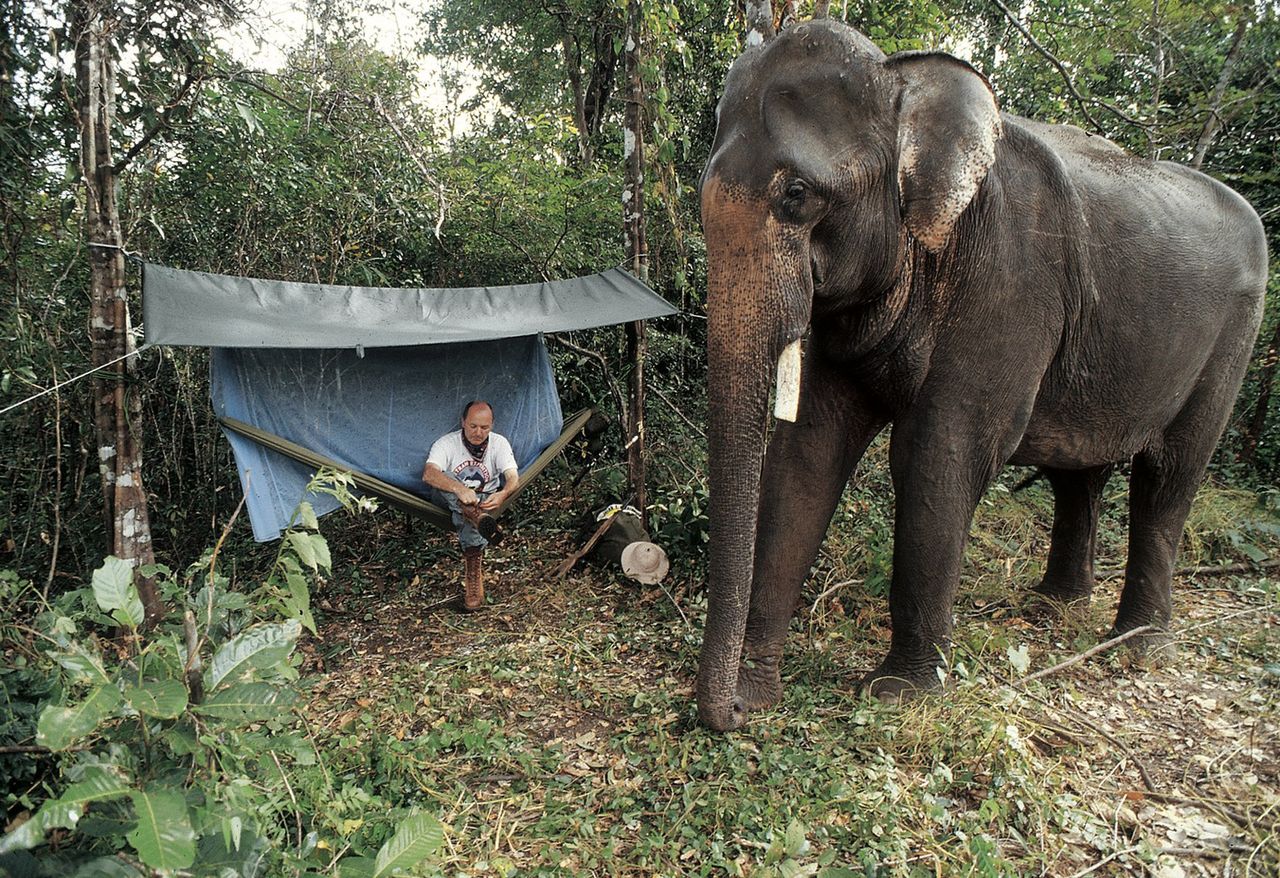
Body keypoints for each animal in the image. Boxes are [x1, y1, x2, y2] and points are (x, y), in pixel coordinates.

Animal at [701, 22, 1269, 737]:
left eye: (796, 194)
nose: (725, 715)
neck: (906, 85)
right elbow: (810, 452)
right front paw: (758, 693)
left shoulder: (1011, 283)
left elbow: (937, 454)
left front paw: (899, 696)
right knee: (1078, 474)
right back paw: (1053, 607)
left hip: (1234, 335)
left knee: (1170, 472)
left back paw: (1138, 646)